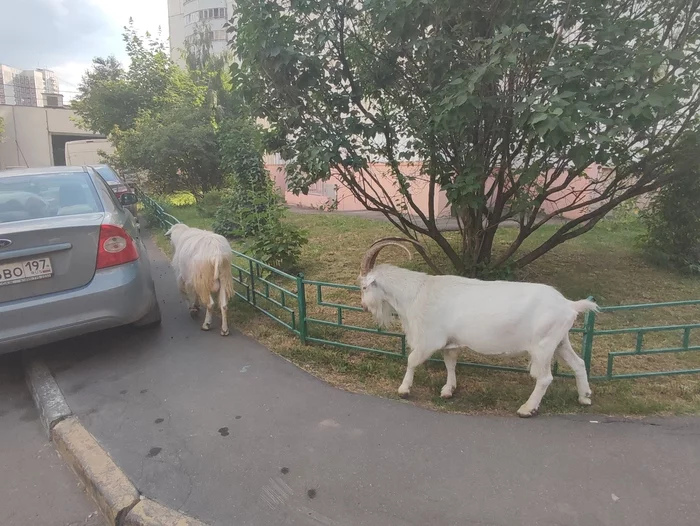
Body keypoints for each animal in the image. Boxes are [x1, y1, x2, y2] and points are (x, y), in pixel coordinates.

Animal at [358, 240, 600, 420]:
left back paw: (527, 409)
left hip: (543, 346)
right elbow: (450, 362)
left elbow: (412, 360)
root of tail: (569, 305)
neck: (417, 292)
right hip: (560, 341)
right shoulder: (450, 342)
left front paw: (404, 390)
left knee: (545, 378)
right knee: (578, 363)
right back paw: (585, 397)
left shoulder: (430, 340)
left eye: (363, 286)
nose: (363, 306)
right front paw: (448, 390)